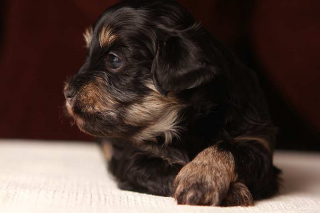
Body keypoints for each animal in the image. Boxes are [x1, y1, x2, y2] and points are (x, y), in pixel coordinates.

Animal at [64, 0, 280, 206]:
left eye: (114, 60)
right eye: (88, 55)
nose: (67, 92)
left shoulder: (256, 141)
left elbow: (225, 148)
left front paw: (201, 176)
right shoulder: (129, 156)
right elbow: (163, 166)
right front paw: (221, 188)